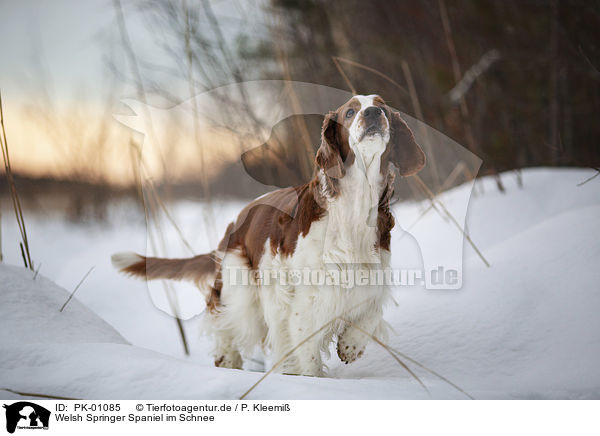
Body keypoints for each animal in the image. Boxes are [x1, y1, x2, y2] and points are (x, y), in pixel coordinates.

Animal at [111, 94, 422, 374]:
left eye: (383, 107)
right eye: (350, 112)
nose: (372, 114)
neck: (355, 203)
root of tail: (236, 220)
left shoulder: (372, 276)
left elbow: (371, 311)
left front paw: (351, 346)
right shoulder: (305, 299)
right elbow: (307, 352)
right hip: (240, 285)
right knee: (224, 321)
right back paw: (228, 362)